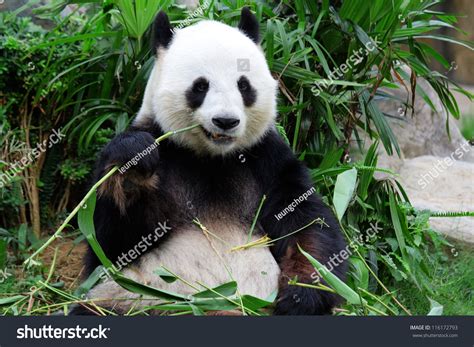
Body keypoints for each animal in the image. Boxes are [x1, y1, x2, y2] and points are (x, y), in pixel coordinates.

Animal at [79, 6, 348, 316]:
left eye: (243, 85)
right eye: (200, 86)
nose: (226, 121)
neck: (211, 158)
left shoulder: (268, 160)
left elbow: (305, 223)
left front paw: (300, 294)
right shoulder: (164, 145)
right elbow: (108, 244)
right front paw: (134, 163)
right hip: (132, 300)